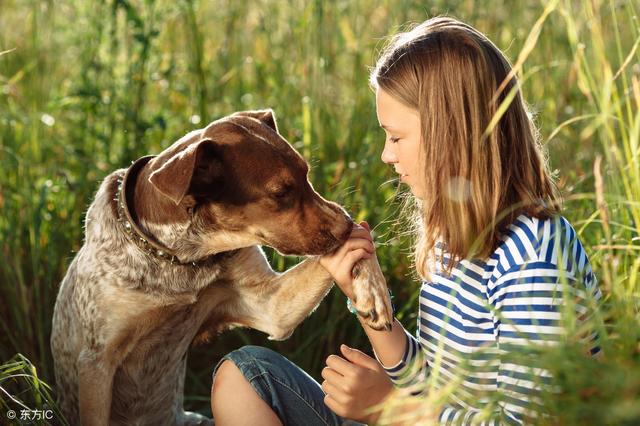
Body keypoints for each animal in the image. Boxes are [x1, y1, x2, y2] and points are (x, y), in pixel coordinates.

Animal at [52, 110, 396, 426]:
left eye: (307, 174)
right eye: (280, 193)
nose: (346, 224)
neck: (181, 259)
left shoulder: (271, 307)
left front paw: (372, 290)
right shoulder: (97, 363)